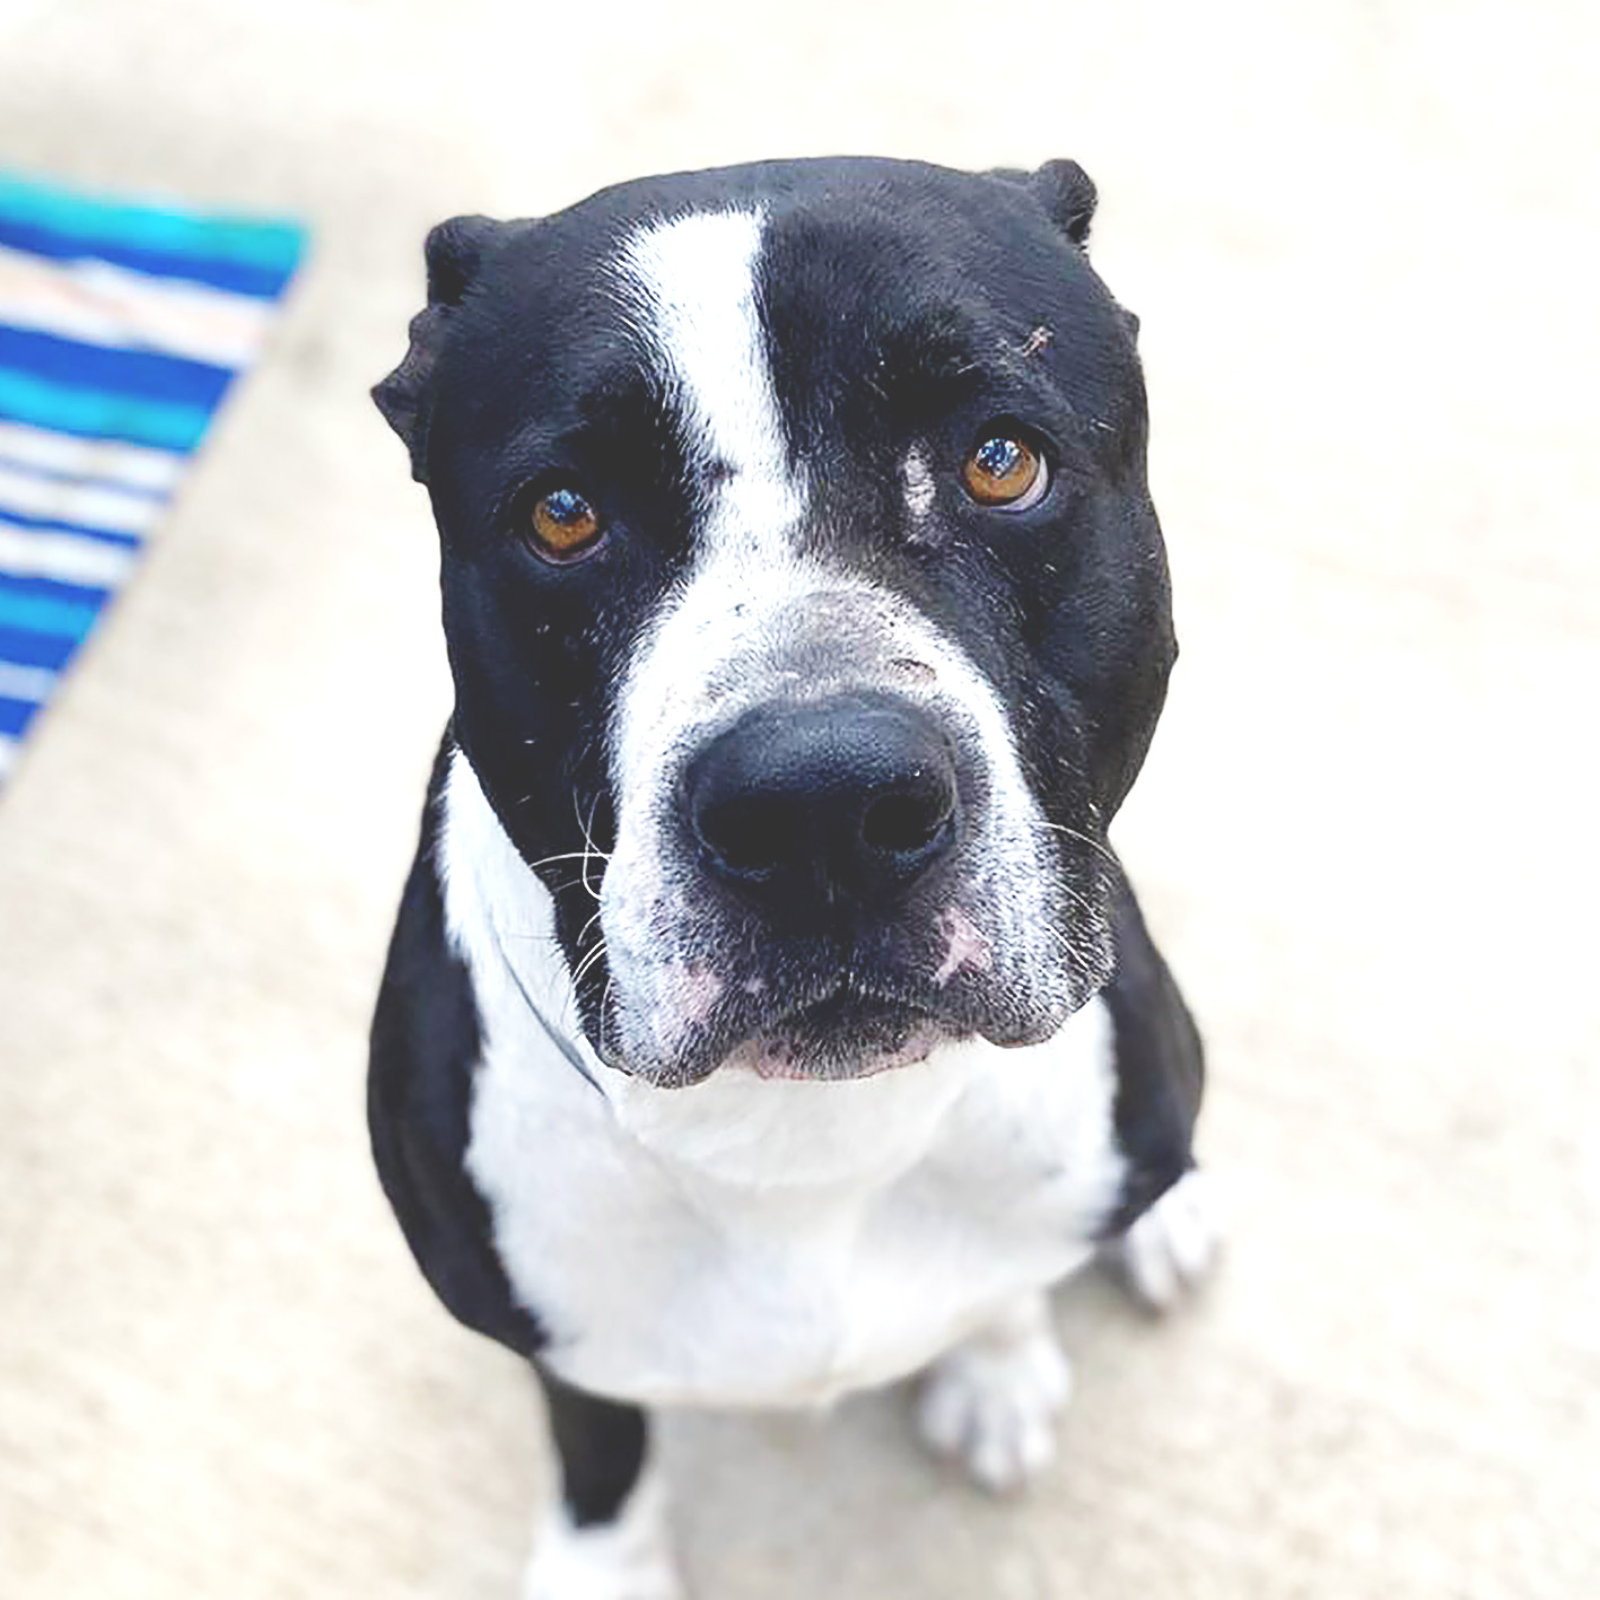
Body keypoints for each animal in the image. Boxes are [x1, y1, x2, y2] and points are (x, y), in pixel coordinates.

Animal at [368, 155, 1216, 1599]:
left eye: (1000, 462)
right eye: (563, 515)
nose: (822, 805)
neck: (812, 1140)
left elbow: (1009, 1278)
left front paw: (998, 1363)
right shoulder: (554, 1327)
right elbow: (596, 1436)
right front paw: (605, 1565)